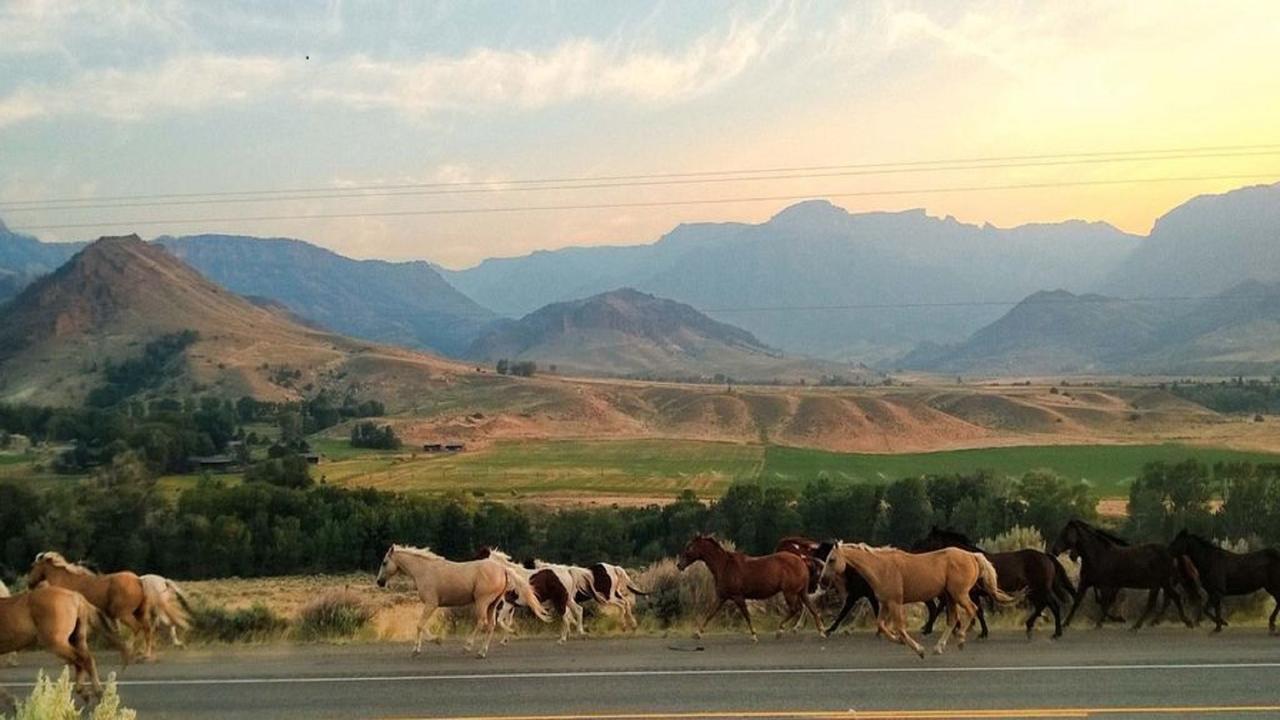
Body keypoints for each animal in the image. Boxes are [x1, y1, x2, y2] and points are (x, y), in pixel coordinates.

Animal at [373, 543, 547, 655]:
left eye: (384, 562)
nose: (379, 582)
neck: (424, 571)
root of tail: (503, 569)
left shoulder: (431, 604)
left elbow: (420, 625)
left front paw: (424, 646)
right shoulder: (431, 605)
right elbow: (422, 624)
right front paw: (424, 645)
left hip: (482, 602)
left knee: (482, 622)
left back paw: (468, 647)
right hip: (493, 604)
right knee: (491, 625)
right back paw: (482, 651)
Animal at [670, 532, 819, 638]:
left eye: (689, 547)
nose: (679, 565)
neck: (724, 566)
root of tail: (802, 561)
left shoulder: (738, 596)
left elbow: (746, 614)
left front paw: (754, 635)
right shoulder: (722, 597)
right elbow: (710, 613)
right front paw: (697, 633)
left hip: (789, 592)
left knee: (796, 609)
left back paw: (781, 630)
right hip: (800, 592)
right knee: (808, 607)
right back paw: (820, 630)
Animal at [819, 540, 1018, 653]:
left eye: (831, 559)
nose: (821, 581)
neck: (881, 568)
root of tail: (973, 556)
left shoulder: (895, 603)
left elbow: (899, 628)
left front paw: (919, 649)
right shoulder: (884, 603)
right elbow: (882, 625)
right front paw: (898, 640)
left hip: (959, 594)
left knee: (972, 610)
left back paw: (960, 639)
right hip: (950, 597)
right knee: (953, 619)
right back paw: (939, 647)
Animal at [911, 525, 1080, 635]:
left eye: (928, 539)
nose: (914, 549)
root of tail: (1046, 556)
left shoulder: (972, 594)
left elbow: (977, 611)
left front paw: (982, 633)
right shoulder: (973, 594)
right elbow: (977, 611)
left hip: (1042, 588)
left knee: (1053, 605)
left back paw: (1056, 632)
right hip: (1034, 590)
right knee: (1042, 605)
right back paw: (1030, 625)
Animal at [1049, 515, 1198, 627]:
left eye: (1065, 533)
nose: (1054, 550)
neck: (1098, 555)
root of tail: (1170, 552)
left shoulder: (1106, 585)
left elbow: (1104, 604)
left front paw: (1106, 622)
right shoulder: (1086, 583)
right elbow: (1079, 602)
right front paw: (1065, 624)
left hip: (1164, 582)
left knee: (1173, 598)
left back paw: (1186, 622)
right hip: (1159, 584)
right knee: (1157, 602)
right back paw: (1141, 625)